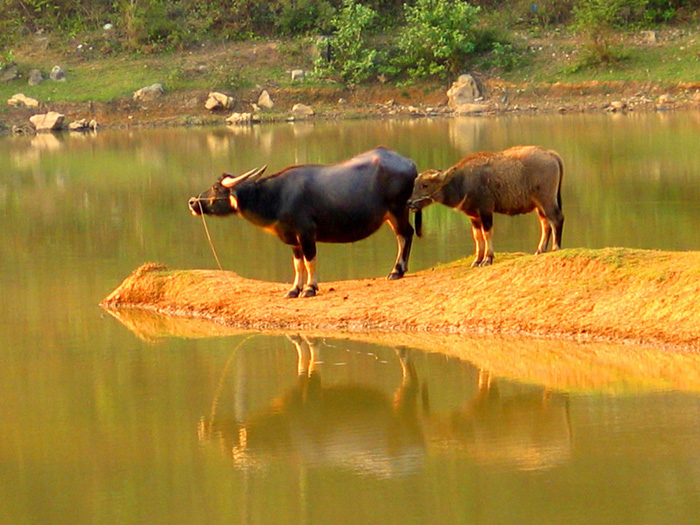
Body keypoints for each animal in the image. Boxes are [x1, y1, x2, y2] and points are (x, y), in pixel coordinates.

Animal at [186, 145, 424, 296]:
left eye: (216, 187)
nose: (192, 202)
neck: (276, 196)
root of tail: (410, 163)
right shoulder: (293, 239)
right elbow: (298, 264)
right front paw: (294, 289)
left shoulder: (307, 233)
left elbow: (311, 261)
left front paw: (310, 288)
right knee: (406, 234)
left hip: (397, 210)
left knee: (405, 234)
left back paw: (396, 271)